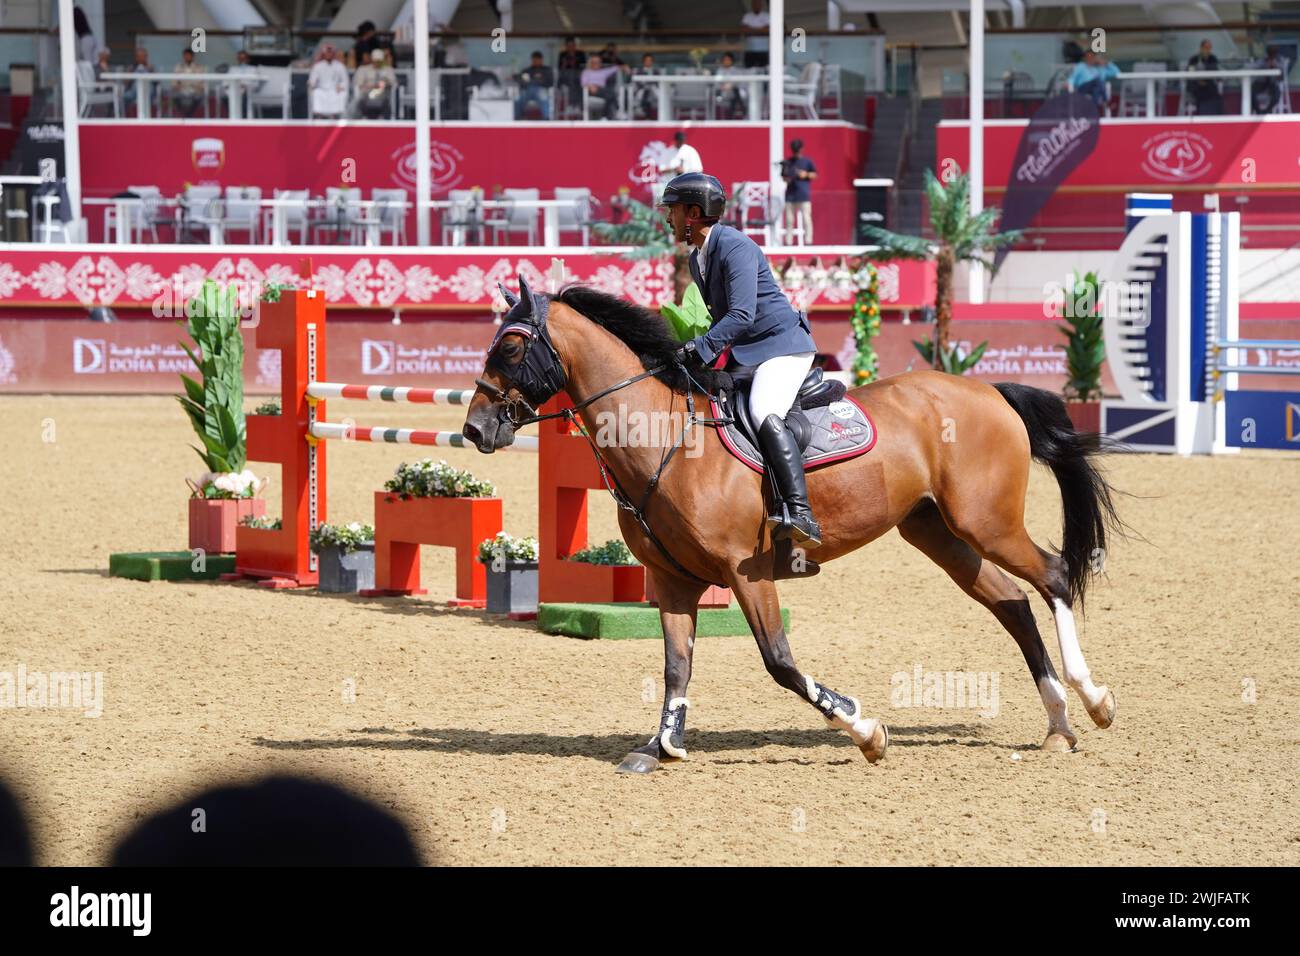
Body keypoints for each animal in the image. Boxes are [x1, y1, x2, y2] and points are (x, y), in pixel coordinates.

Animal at [462, 280, 1123, 775]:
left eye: (513, 348)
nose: (474, 428)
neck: (661, 438)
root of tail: (990, 390)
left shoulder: (746, 571)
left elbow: (779, 661)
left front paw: (865, 729)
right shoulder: (671, 580)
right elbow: (676, 665)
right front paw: (662, 745)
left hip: (986, 523)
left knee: (1053, 576)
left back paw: (1092, 700)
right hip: (940, 535)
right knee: (1013, 603)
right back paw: (1059, 724)